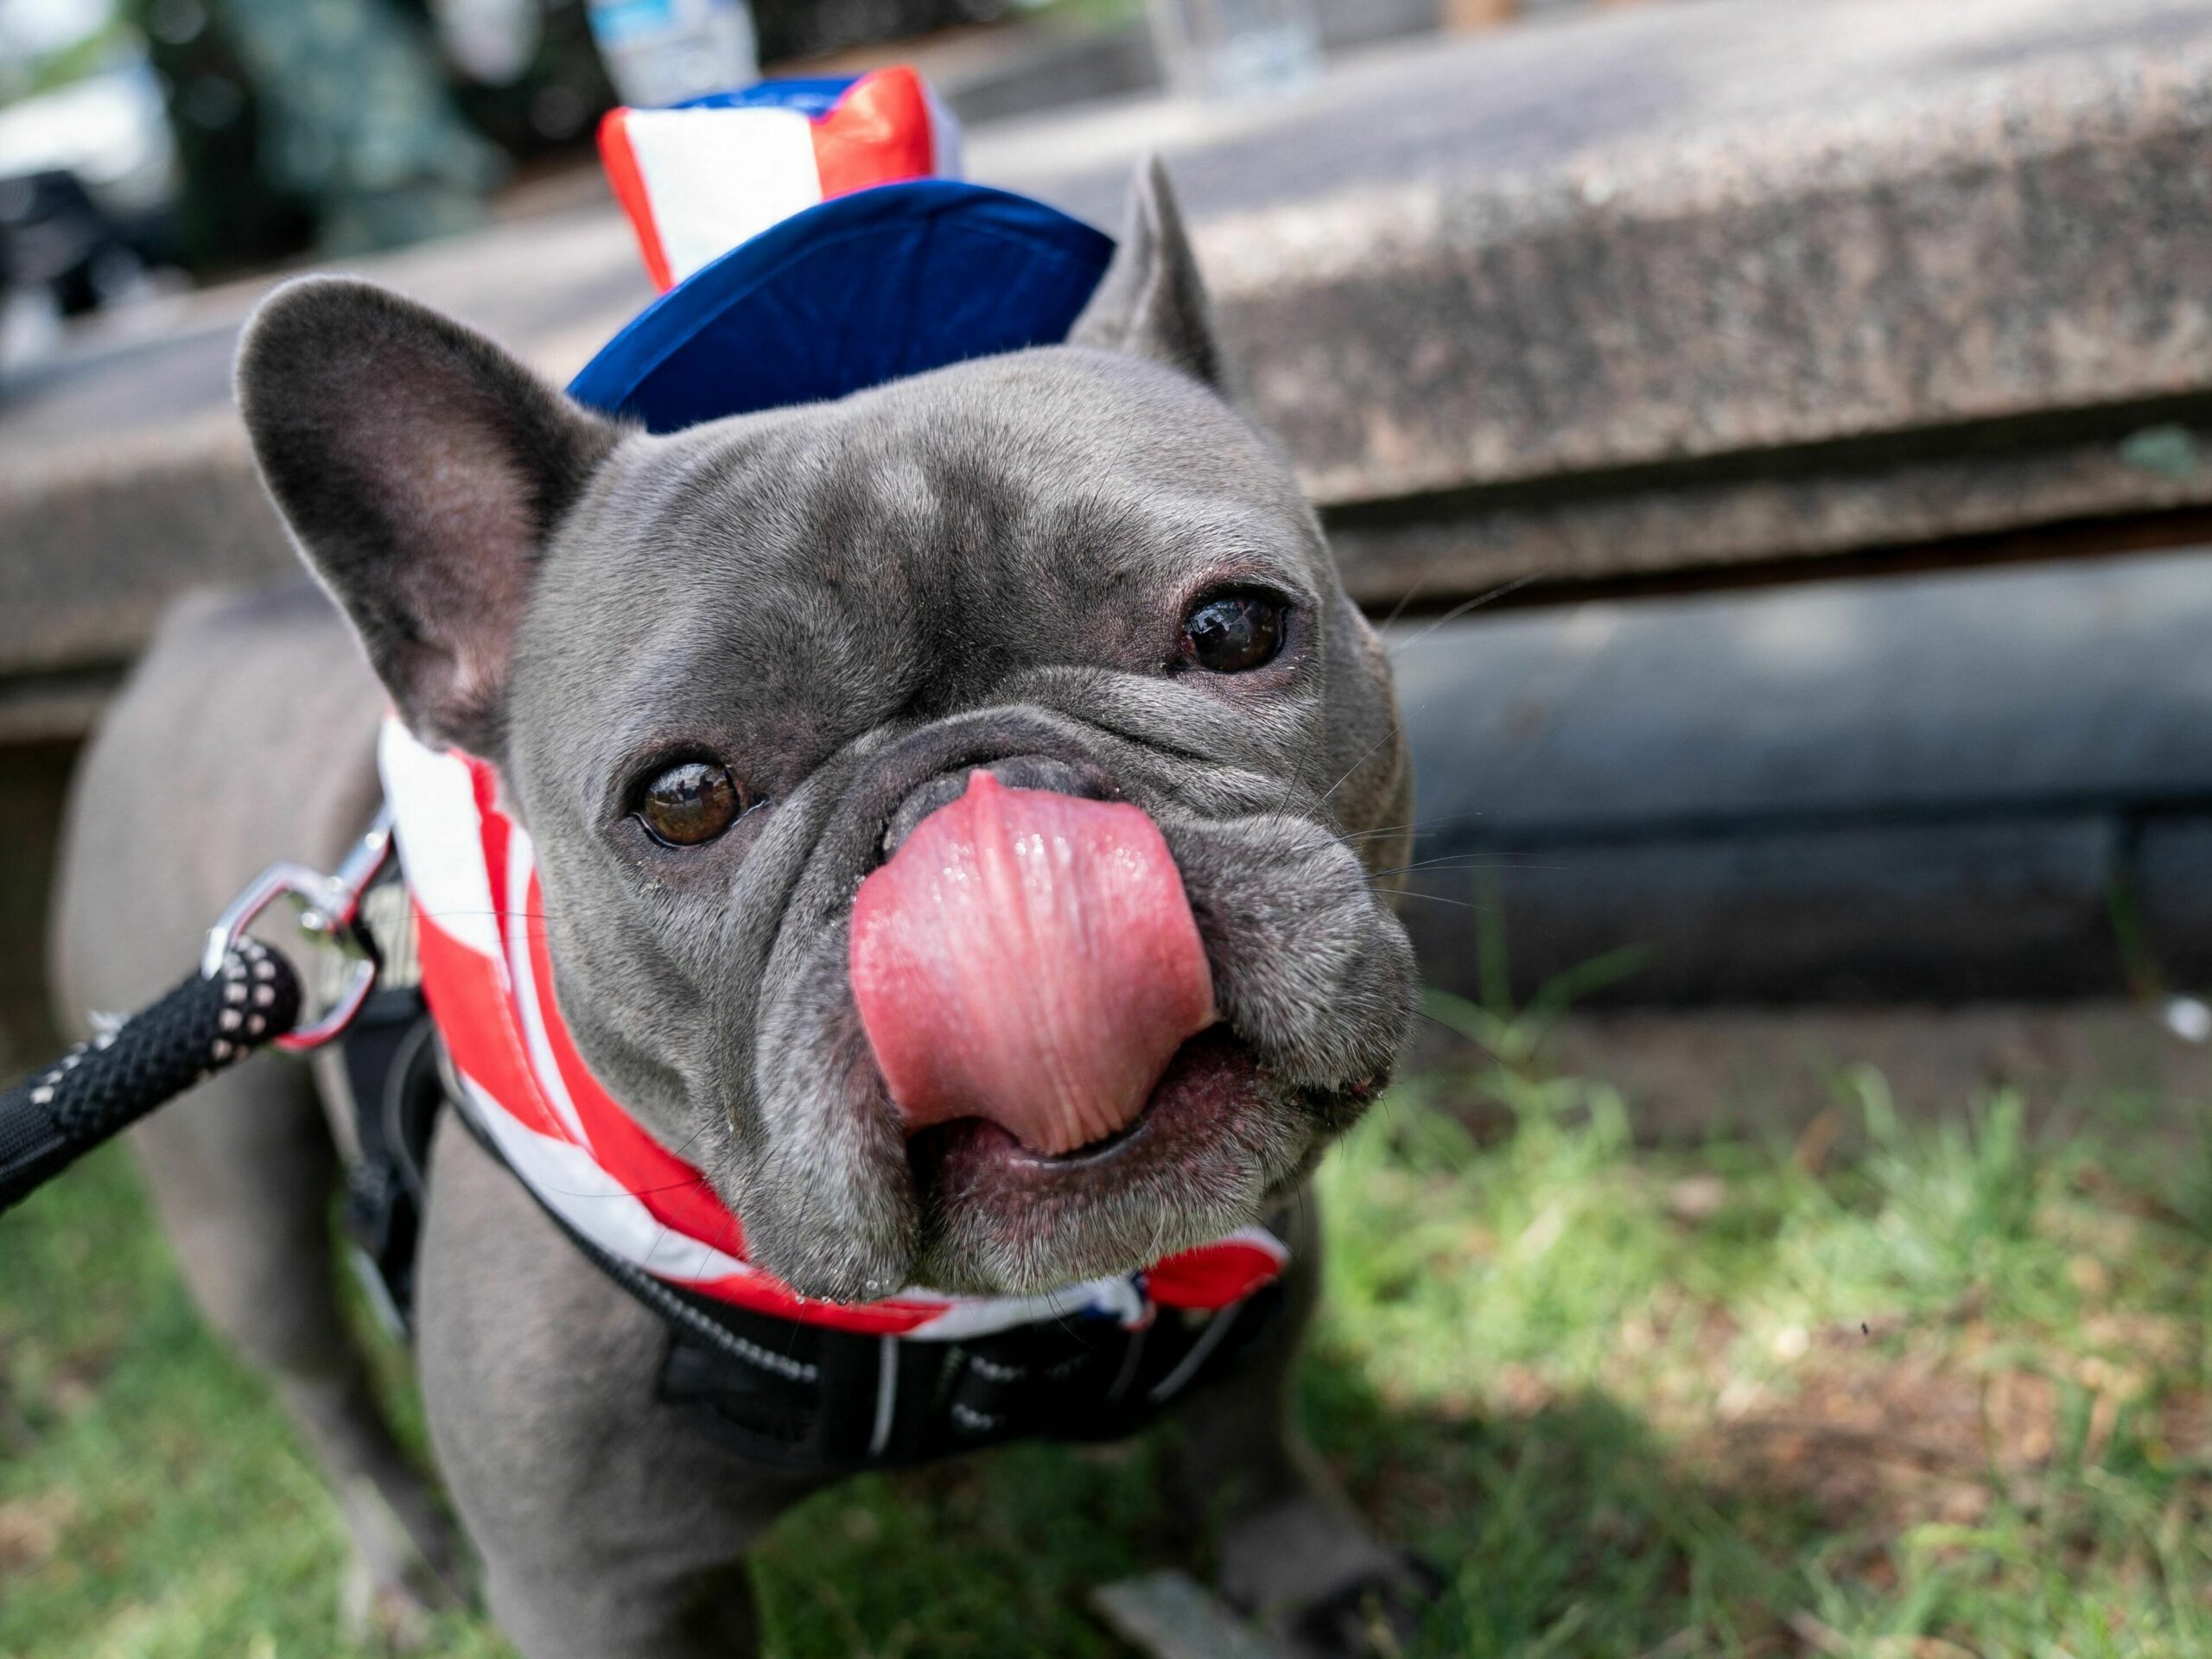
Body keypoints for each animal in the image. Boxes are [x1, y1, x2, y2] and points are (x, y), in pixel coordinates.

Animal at [55, 159, 1433, 1659]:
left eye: (1236, 629)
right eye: (684, 799)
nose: (976, 791)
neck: (961, 1326)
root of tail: (189, 630)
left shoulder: (1258, 1263)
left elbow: (1250, 1432)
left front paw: (1316, 1580)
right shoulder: (596, 1588)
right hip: (229, 1186)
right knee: (311, 1372)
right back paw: (404, 1559)